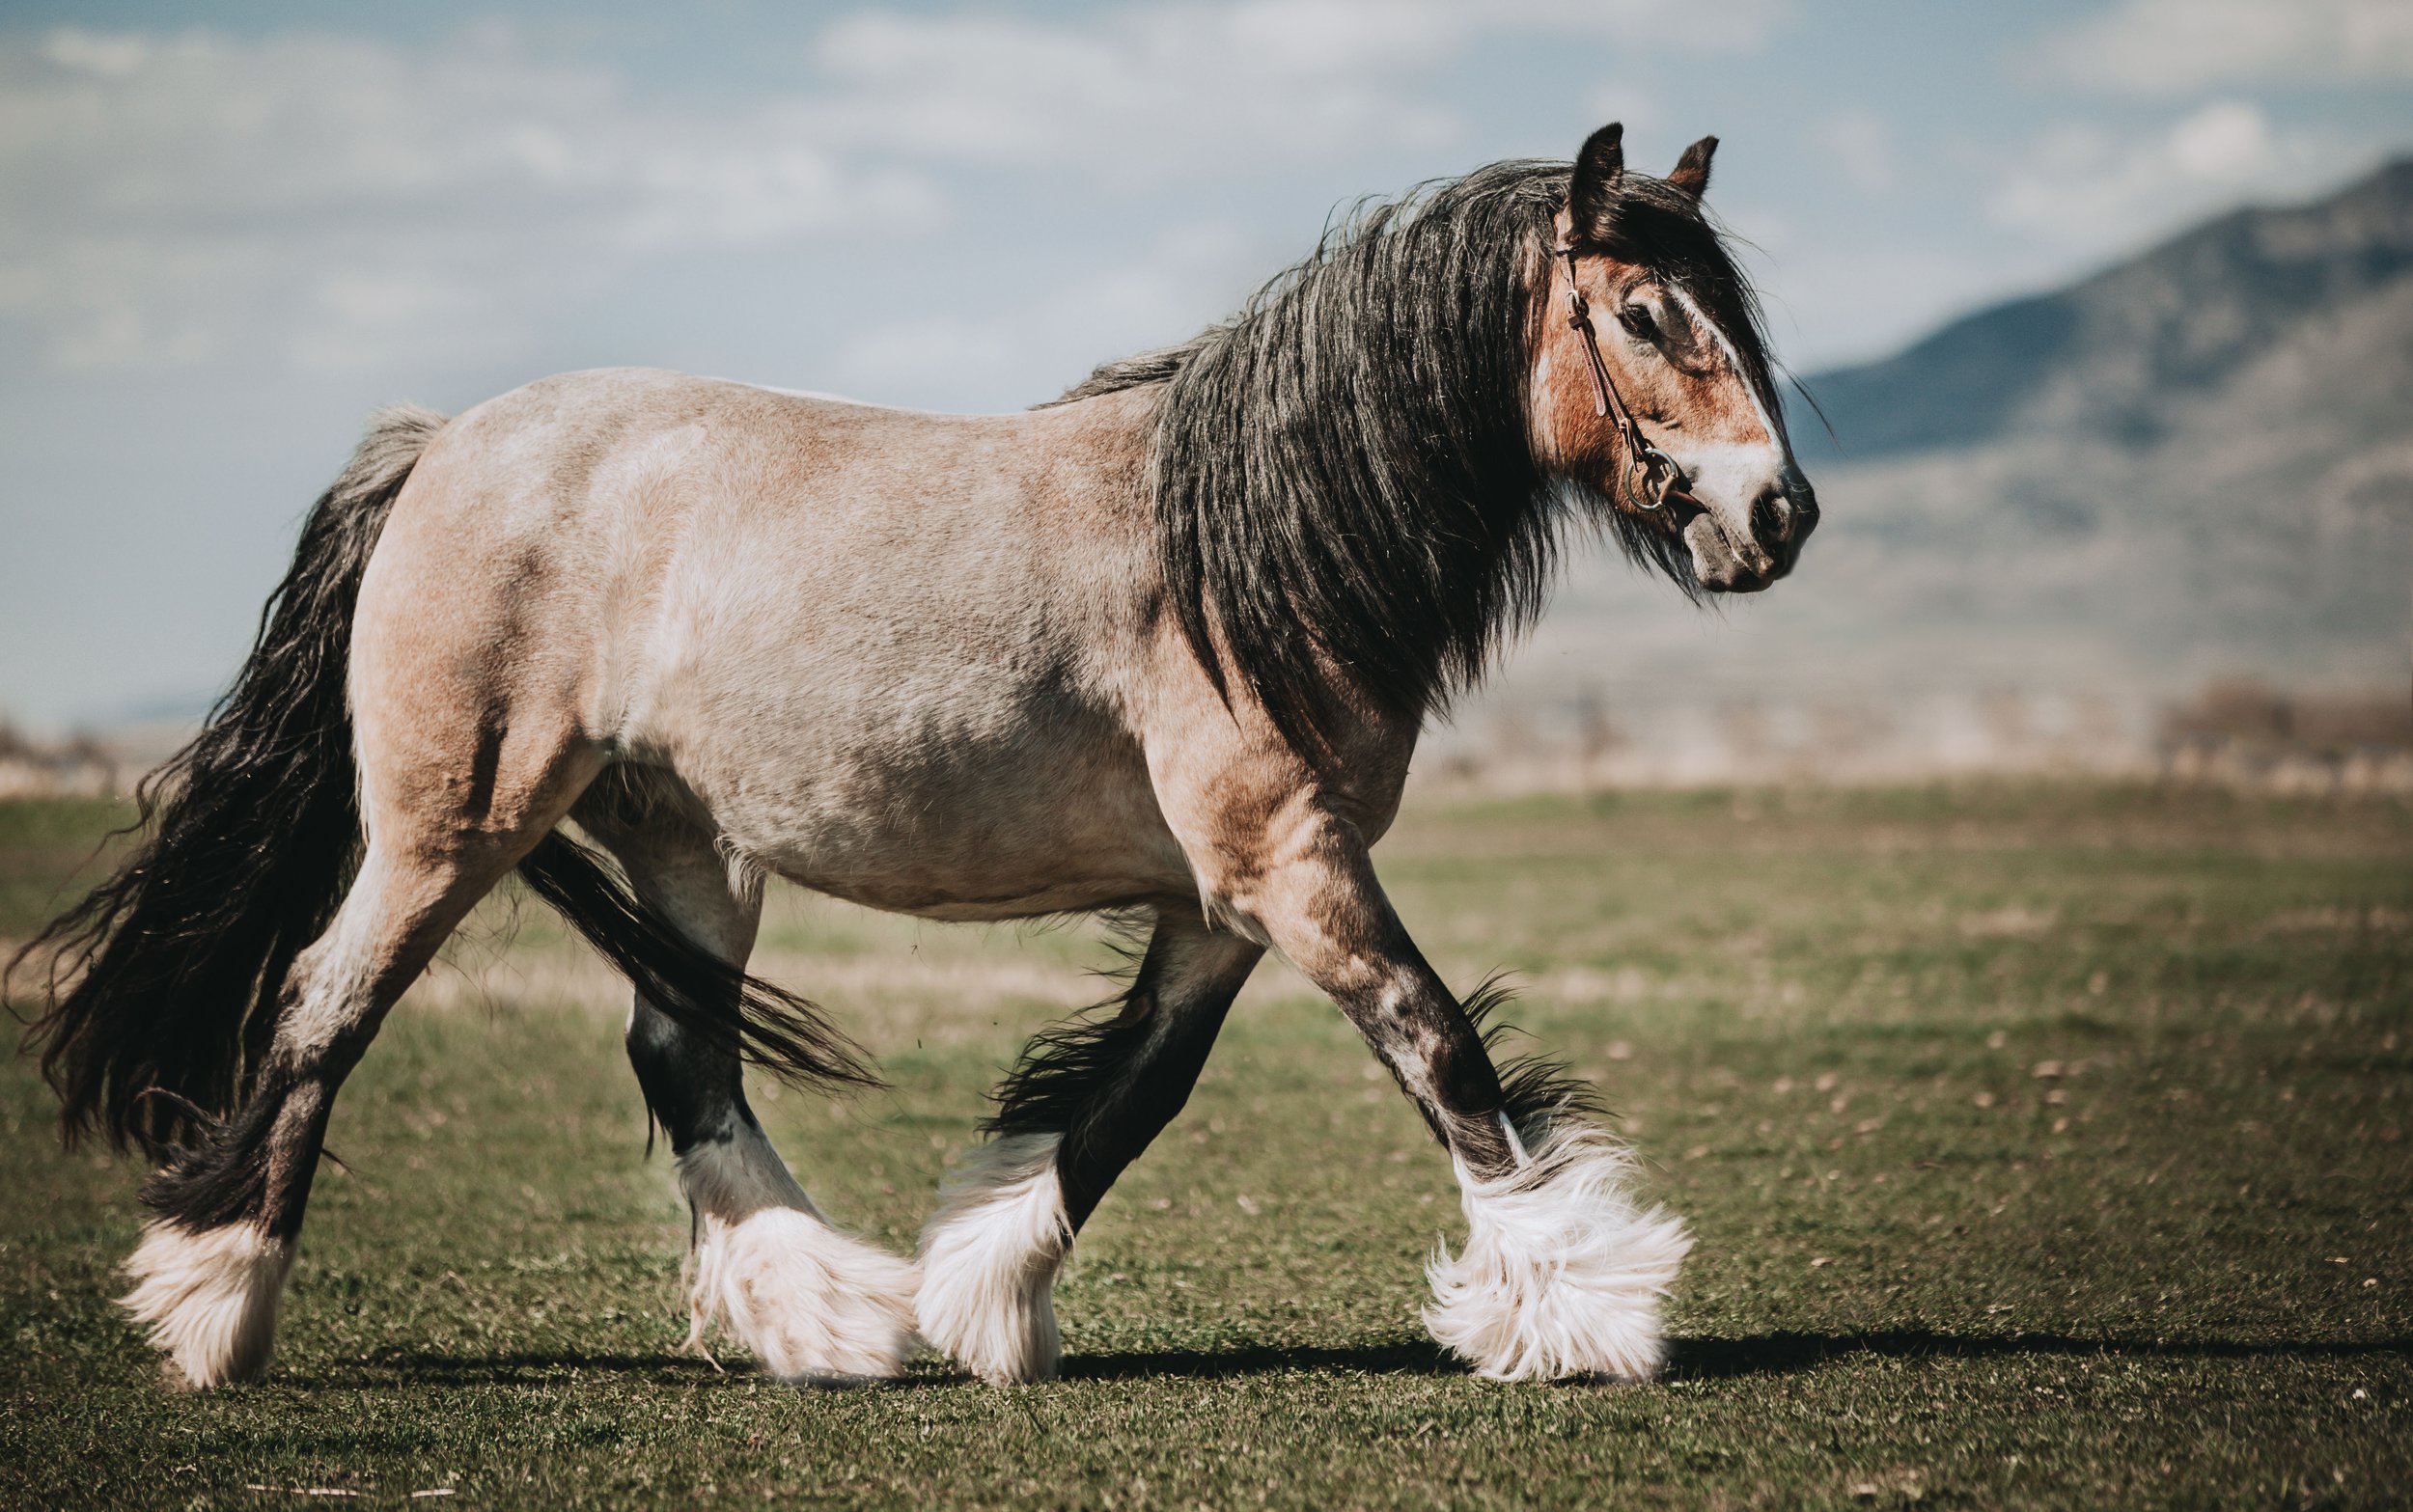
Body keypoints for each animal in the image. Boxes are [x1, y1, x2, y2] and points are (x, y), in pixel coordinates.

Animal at [13, 122, 1815, 1390]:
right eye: (1647, 314)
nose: (1779, 513)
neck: (1240, 551)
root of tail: (443, 442)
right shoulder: (1287, 864)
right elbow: (1440, 1049)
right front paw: (1582, 1306)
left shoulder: (1219, 903)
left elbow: (1132, 1095)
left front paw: (983, 1293)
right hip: (448, 829)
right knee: (324, 1012)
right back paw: (216, 1311)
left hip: (688, 847)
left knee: (680, 1054)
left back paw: (824, 1314)